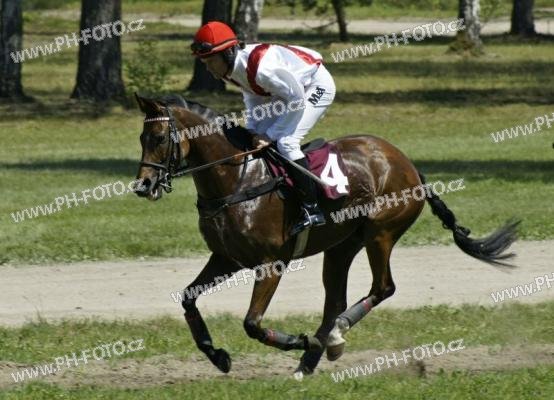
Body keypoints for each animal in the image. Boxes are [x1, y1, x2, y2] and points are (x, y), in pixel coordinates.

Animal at [134, 93, 519, 378]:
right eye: (141, 138)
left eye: (159, 138)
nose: (143, 186)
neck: (238, 180)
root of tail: (407, 163)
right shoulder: (226, 258)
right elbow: (188, 298)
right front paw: (218, 356)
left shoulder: (271, 264)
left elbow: (252, 324)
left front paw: (301, 342)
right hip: (342, 245)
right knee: (335, 300)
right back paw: (313, 358)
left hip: (381, 232)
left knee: (383, 288)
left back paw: (331, 336)